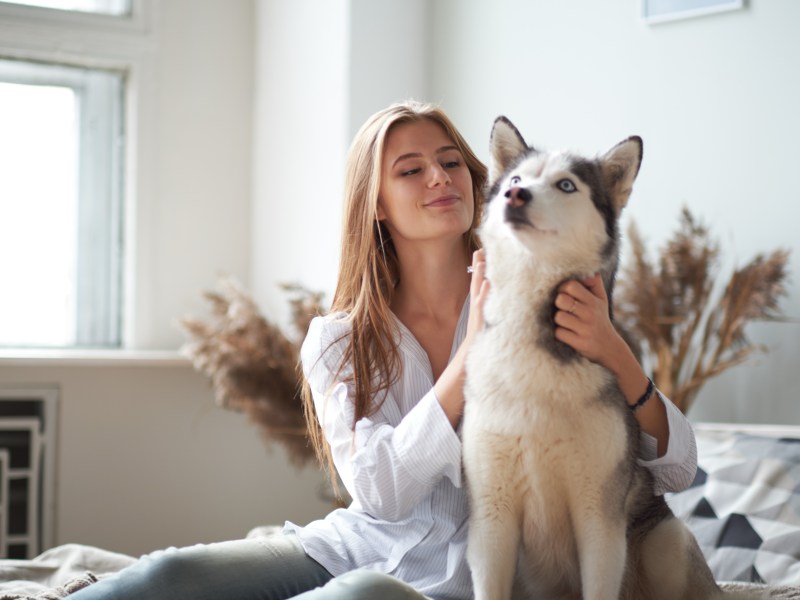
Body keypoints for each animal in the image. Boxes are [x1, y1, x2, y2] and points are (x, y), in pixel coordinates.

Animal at [462, 118, 736, 600]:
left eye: (566, 185)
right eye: (515, 180)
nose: (517, 195)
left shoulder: (599, 519)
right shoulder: (491, 519)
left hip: (666, 539)